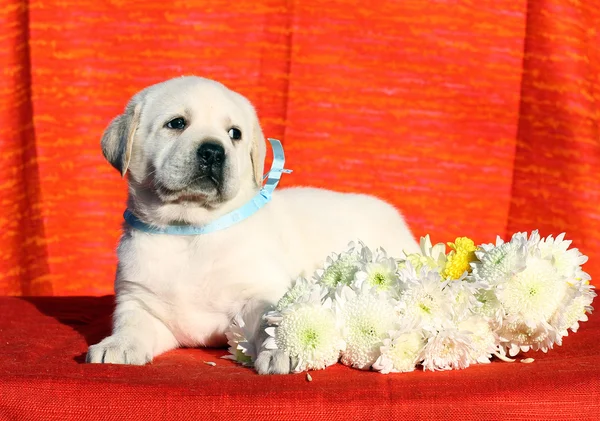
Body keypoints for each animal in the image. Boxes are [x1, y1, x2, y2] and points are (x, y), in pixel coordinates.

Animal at [86, 77, 420, 372]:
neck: (190, 230)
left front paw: (285, 350)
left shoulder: (259, 291)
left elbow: (270, 320)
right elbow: (132, 324)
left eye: (234, 133)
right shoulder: (138, 300)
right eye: (177, 123)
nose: (213, 151)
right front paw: (117, 344)